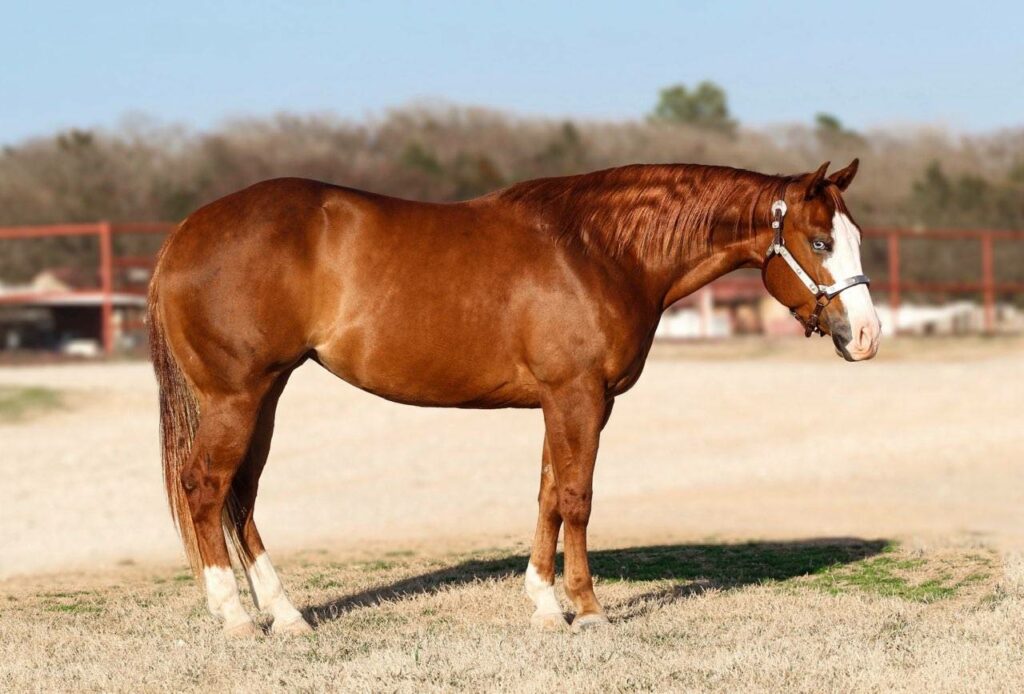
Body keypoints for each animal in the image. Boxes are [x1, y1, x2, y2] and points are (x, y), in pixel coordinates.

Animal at [147, 159, 880, 636]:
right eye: (819, 241)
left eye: (855, 240)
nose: (867, 335)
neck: (598, 249)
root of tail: (184, 233)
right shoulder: (577, 396)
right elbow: (578, 498)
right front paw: (589, 610)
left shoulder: (571, 402)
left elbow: (549, 494)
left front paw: (546, 606)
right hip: (236, 396)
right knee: (206, 488)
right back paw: (236, 619)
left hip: (266, 394)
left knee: (242, 496)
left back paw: (288, 616)